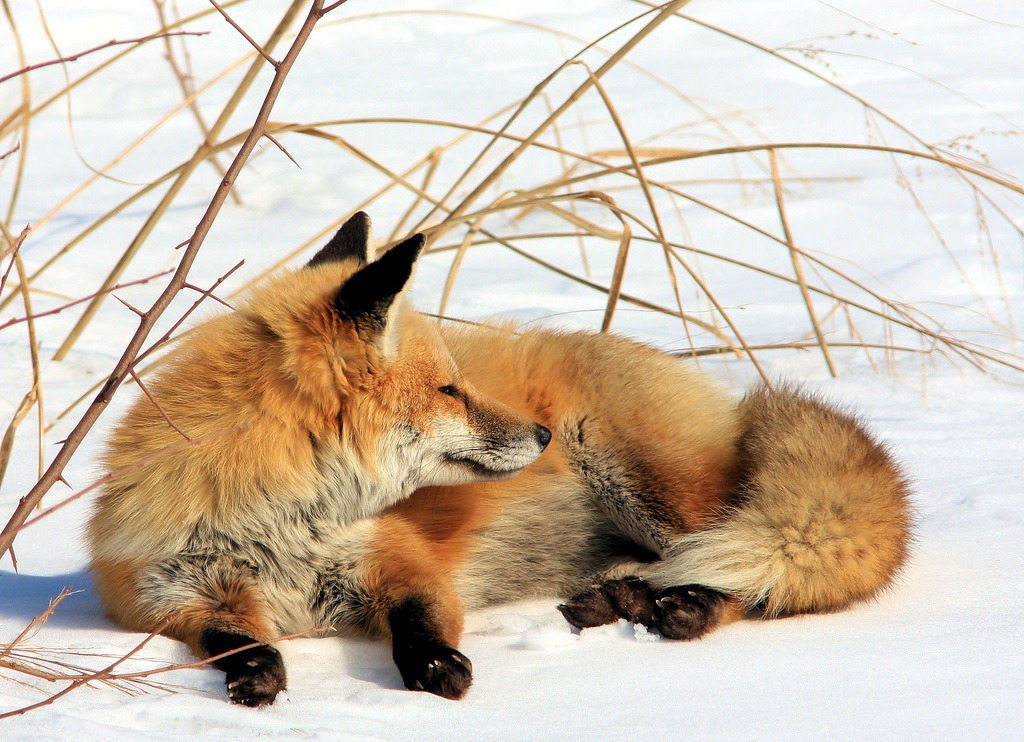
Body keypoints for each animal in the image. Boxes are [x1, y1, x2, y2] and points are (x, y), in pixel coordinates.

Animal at [83, 212, 909, 708]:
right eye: (449, 390)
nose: (541, 436)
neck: (285, 527)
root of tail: (738, 401)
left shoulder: (401, 558)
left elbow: (421, 621)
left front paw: (433, 669)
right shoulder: (174, 596)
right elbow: (234, 640)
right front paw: (258, 675)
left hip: (656, 492)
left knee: (750, 573)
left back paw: (683, 608)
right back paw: (617, 601)